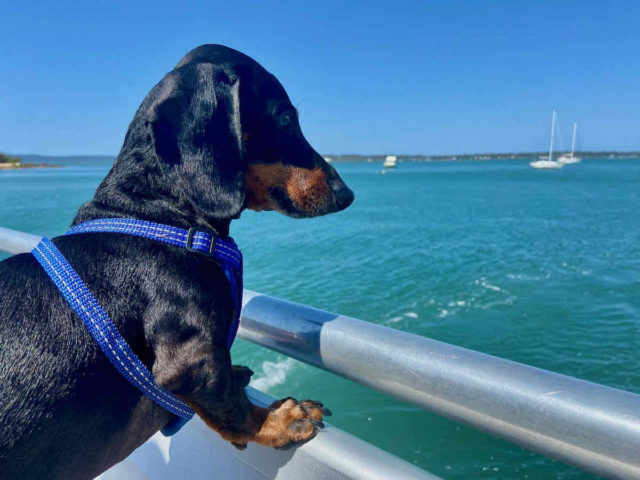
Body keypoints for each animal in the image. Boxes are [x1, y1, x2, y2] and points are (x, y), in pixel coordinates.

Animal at [0, 45, 356, 480]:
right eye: (287, 118)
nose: (347, 194)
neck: (156, 212)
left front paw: (239, 376)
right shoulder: (190, 359)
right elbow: (231, 406)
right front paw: (278, 421)